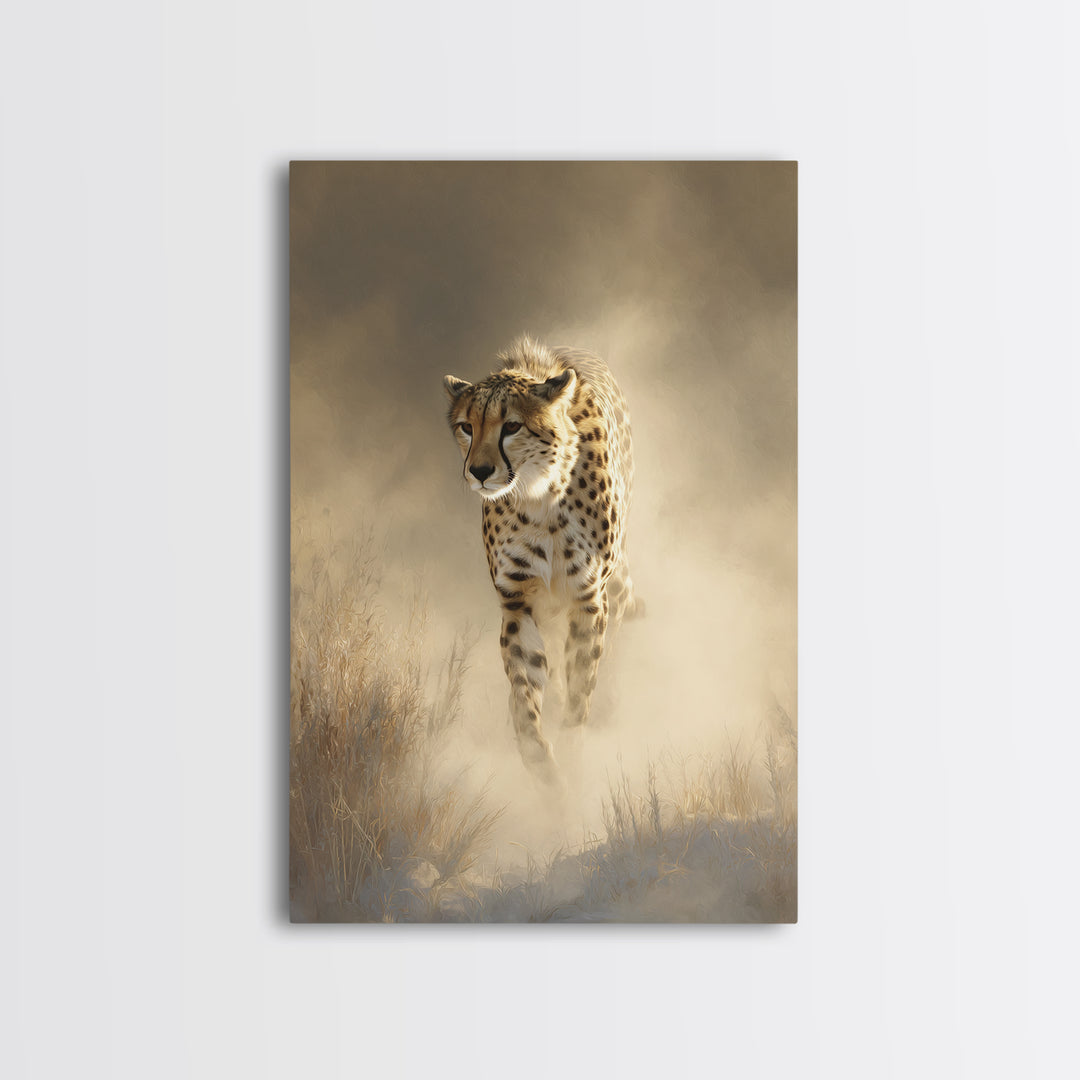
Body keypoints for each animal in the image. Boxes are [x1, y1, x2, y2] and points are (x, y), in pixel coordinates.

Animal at [443, 336, 639, 786]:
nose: (480, 471)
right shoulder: (519, 602)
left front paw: (571, 750)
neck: (540, 494)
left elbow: (581, 685)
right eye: (467, 426)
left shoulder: (588, 599)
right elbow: (523, 688)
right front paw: (540, 762)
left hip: (614, 588)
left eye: (512, 426)